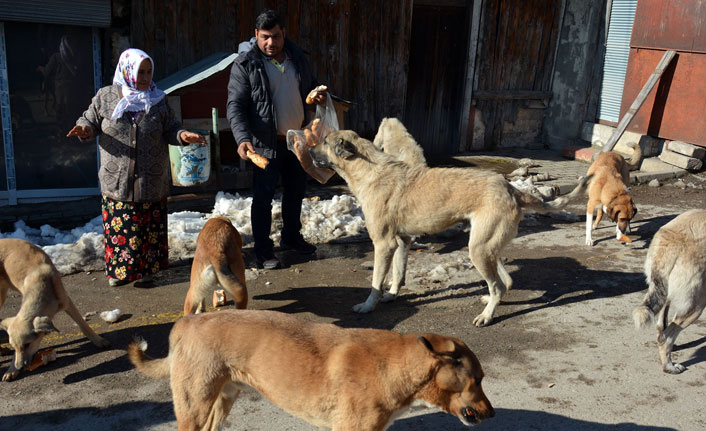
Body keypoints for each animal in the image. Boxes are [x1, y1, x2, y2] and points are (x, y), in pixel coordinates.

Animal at [0, 240, 109, 382]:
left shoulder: (67, 302)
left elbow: (84, 326)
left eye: (27, 345)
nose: (19, 367)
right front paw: (12, 369)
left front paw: (98, 341)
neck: (41, 288)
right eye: (14, 347)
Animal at [131, 308, 496, 430]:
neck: (395, 367)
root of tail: (185, 323)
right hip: (194, 407)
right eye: (477, 379)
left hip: (220, 403)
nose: (492, 414)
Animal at [308, 130, 588, 326]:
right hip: (485, 246)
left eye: (324, 141)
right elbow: (398, 273)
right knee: (505, 281)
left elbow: (377, 281)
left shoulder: (384, 243)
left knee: (497, 284)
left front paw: (368, 307)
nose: (308, 149)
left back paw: (487, 316)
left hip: (479, 249)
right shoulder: (402, 241)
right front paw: (393, 295)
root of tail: (510, 187)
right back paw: (490, 301)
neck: (369, 169)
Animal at [632, 210, 704, 374]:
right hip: (696, 305)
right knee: (666, 337)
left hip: (667, 294)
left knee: (661, 327)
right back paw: (669, 366)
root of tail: (673, 240)